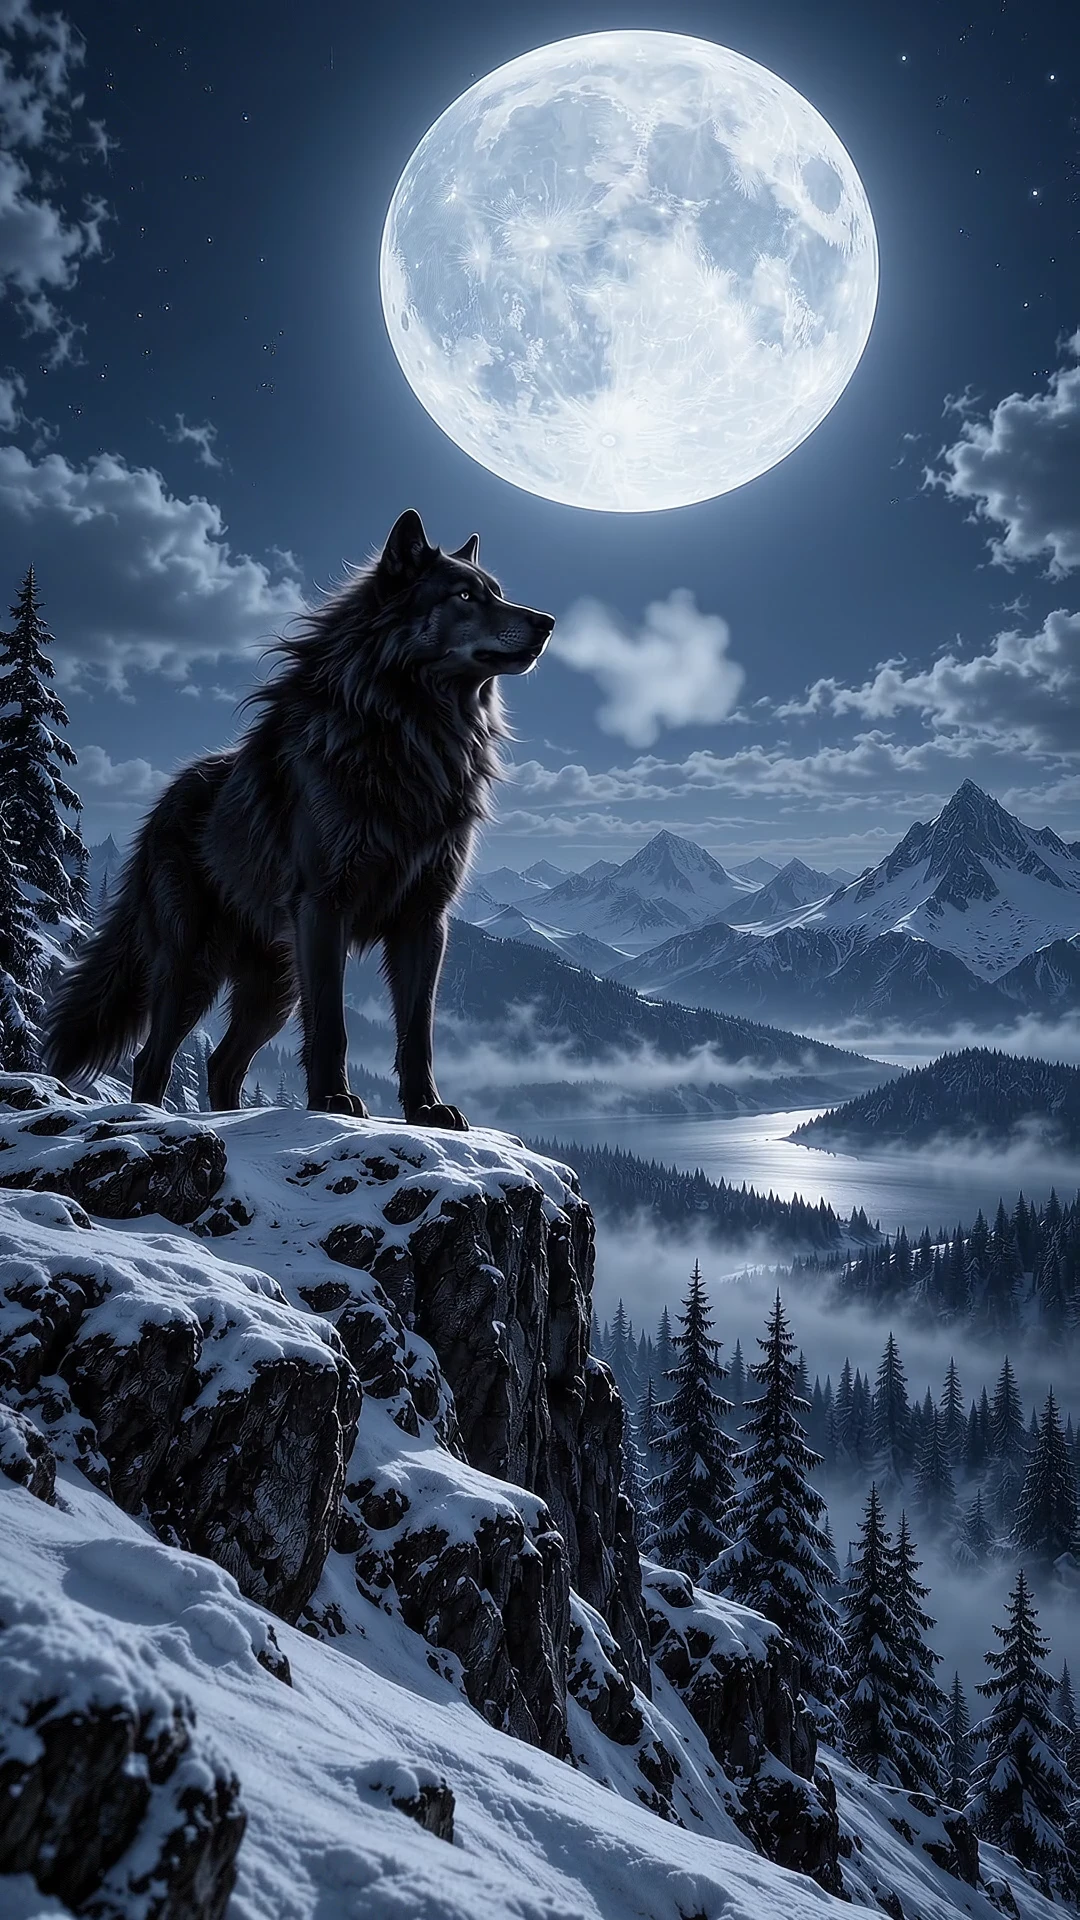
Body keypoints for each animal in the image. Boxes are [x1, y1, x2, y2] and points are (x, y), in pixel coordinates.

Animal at [45, 509, 554, 1127]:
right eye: (464, 595)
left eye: (498, 593)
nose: (548, 622)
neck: (414, 736)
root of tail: (166, 798)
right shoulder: (323, 906)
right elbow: (333, 1026)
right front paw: (333, 1101)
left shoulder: (424, 919)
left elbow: (418, 1032)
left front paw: (427, 1109)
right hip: (193, 967)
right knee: (153, 1060)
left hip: (274, 988)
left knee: (221, 1063)